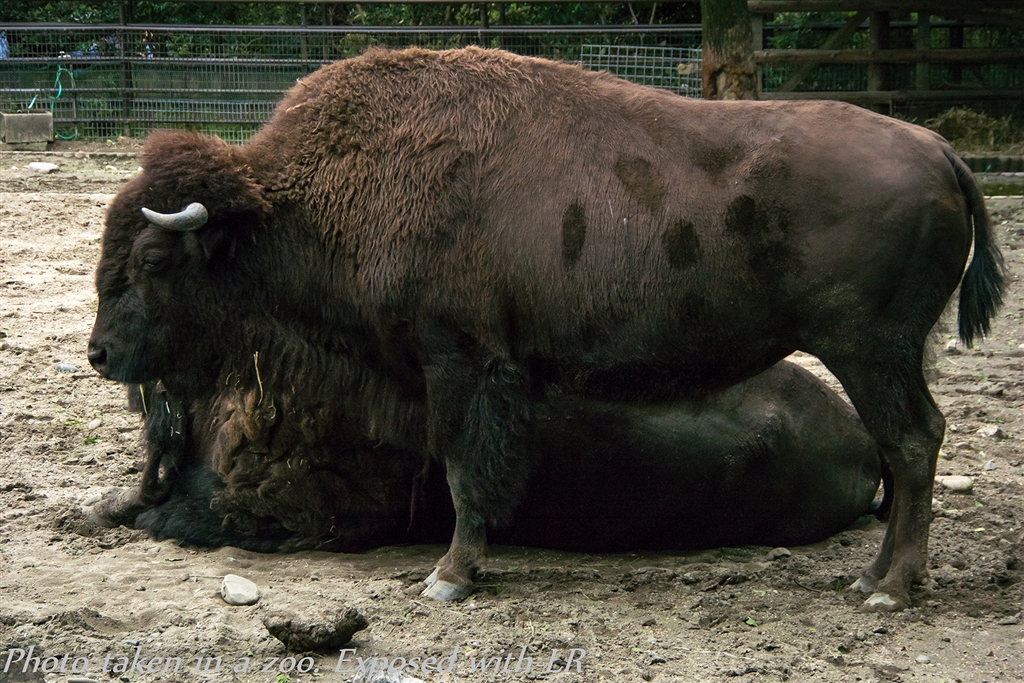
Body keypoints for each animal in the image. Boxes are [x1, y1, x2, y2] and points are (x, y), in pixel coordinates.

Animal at [87, 46, 1004, 611]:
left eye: (154, 258)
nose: (101, 353)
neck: (308, 201)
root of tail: (941, 150)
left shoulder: (460, 362)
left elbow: (468, 471)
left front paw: (450, 577)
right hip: (885, 356)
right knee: (909, 446)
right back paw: (872, 577)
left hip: (870, 351)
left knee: (915, 441)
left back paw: (890, 587)